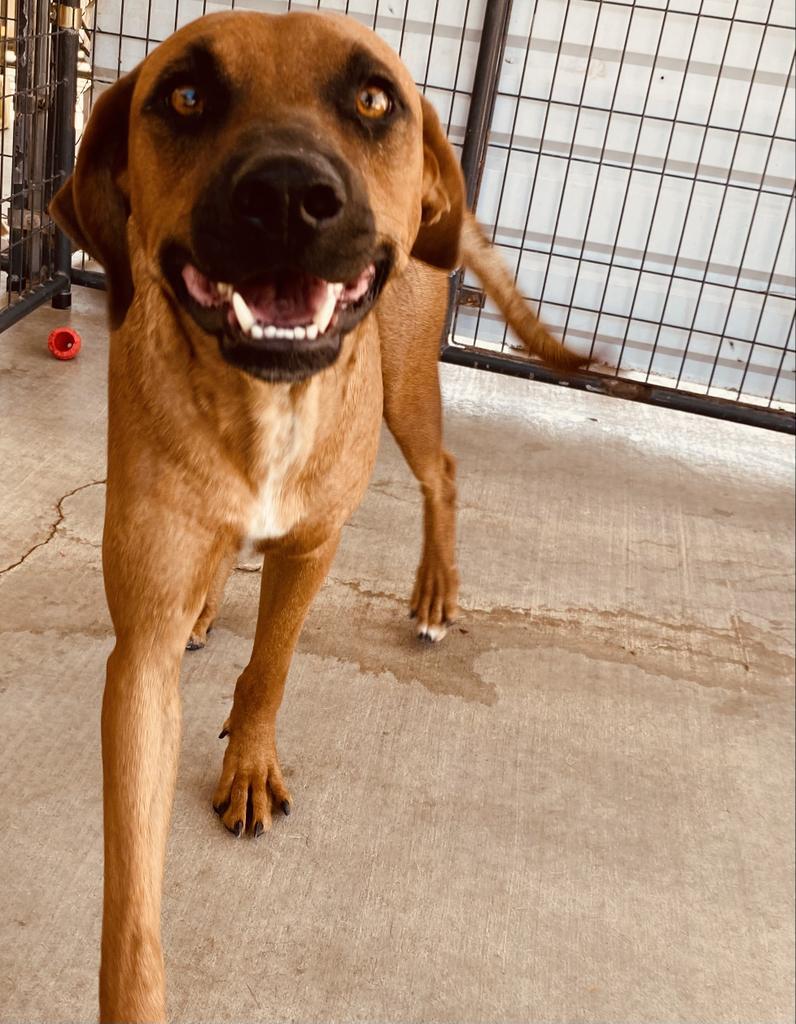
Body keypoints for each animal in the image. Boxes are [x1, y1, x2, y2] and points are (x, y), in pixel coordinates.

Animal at [51, 9, 581, 1024]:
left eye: (373, 99)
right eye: (185, 95)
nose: (291, 196)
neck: (261, 406)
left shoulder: (313, 547)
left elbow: (272, 668)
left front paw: (251, 764)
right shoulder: (139, 649)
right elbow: (130, 898)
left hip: (407, 390)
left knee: (442, 471)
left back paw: (434, 592)